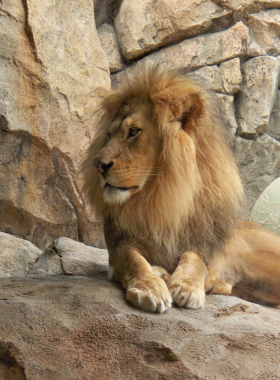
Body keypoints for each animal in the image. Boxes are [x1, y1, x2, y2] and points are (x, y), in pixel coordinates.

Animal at [81, 66, 280, 312]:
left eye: (134, 131)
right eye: (109, 135)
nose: (97, 165)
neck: (157, 197)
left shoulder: (200, 242)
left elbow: (195, 259)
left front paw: (187, 285)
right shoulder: (118, 246)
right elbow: (133, 259)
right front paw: (150, 287)